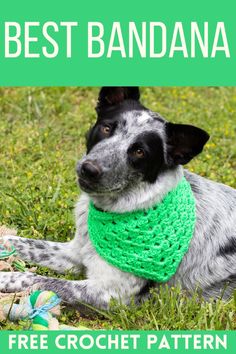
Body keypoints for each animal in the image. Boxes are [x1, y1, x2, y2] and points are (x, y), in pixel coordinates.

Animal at [0, 87, 236, 308]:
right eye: (106, 128)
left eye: (140, 152)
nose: (89, 169)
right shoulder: (74, 253)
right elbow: (15, 241)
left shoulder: (109, 292)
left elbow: (36, 279)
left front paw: (5, 278)